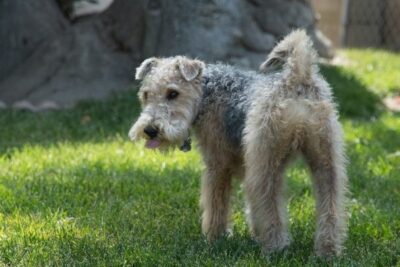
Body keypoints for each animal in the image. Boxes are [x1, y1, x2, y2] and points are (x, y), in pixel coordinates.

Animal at [128, 29, 346, 258]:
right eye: (145, 94)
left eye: (173, 93)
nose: (150, 130)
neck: (206, 93)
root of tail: (297, 78)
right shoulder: (243, 161)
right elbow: (250, 207)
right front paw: (253, 232)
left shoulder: (218, 164)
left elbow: (216, 203)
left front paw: (214, 238)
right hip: (326, 162)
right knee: (331, 206)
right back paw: (328, 251)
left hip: (265, 161)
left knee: (269, 204)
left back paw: (274, 248)